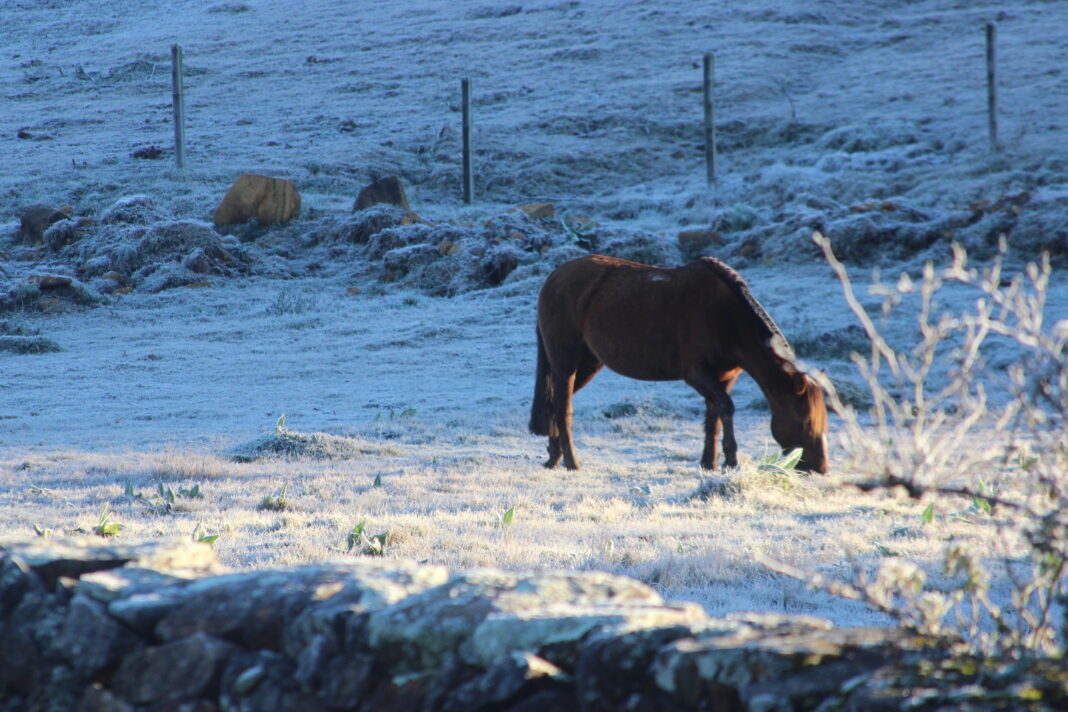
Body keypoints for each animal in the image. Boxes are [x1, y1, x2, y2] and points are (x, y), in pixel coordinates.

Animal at [529, 254, 829, 473]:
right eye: (806, 421)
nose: (821, 468)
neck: (727, 316)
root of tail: (554, 277)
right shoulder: (697, 374)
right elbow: (726, 409)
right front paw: (731, 462)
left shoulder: (725, 377)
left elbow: (714, 416)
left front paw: (709, 463)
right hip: (565, 361)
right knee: (562, 408)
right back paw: (571, 462)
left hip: (588, 364)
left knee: (555, 404)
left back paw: (554, 458)